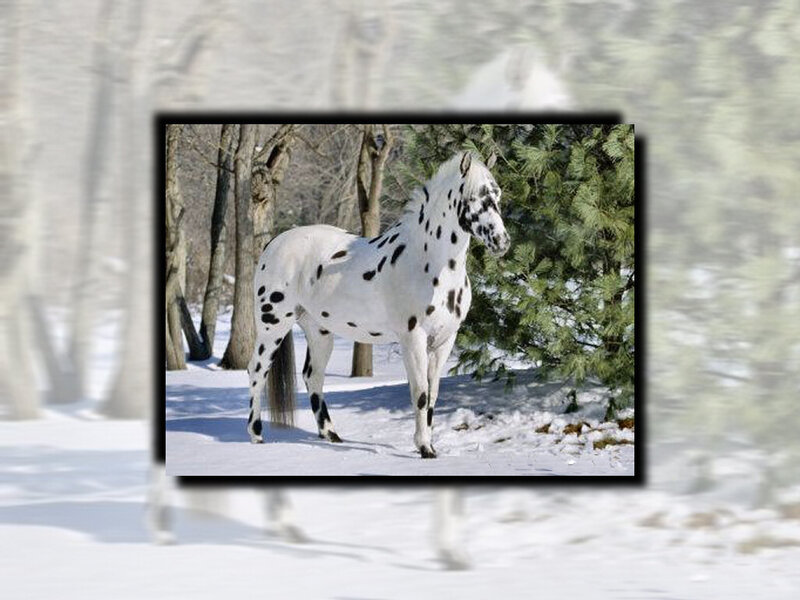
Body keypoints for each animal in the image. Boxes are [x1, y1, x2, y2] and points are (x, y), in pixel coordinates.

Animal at [246, 151, 510, 458]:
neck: (428, 262)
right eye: (475, 198)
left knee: (313, 376)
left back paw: (330, 434)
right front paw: (424, 447)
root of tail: (273, 244)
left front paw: (430, 445)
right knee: (257, 371)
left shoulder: (445, 340)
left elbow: (433, 393)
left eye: (497, 195)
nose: (502, 242)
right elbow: (420, 392)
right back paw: (256, 435)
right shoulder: (413, 338)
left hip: (318, 330)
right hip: (273, 325)